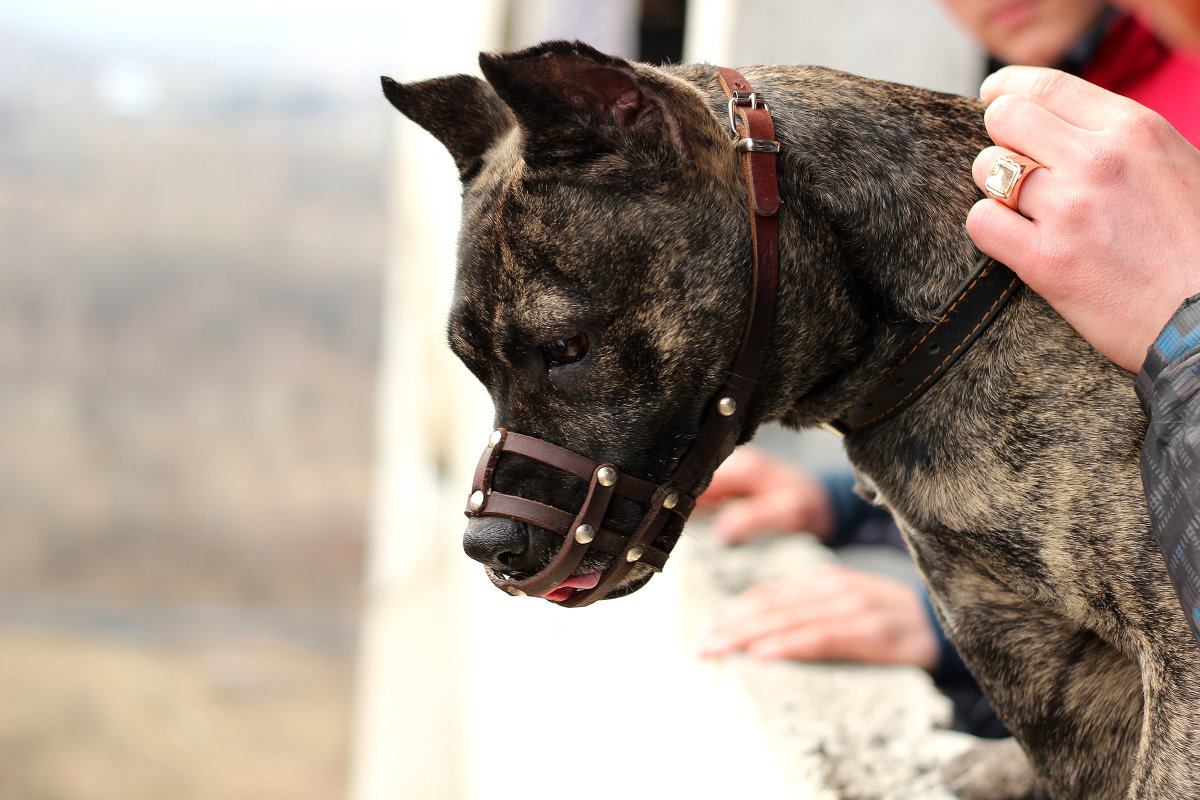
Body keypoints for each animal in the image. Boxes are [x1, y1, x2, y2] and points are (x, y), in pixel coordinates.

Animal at [384, 42, 1200, 800]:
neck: (938, 318)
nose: (486, 543)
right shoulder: (1034, 653)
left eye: (565, 348)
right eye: (472, 367)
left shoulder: (1172, 650)